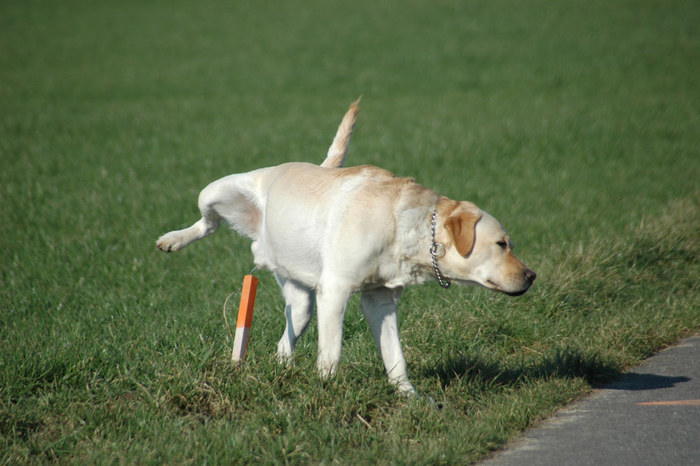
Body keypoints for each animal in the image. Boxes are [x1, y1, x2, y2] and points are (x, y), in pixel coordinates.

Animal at [156, 101, 532, 394]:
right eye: (501, 244)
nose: (531, 276)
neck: (408, 227)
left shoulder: (380, 300)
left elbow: (396, 357)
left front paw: (411, 399)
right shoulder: (335, 290)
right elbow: (332, 352)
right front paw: (324, 390)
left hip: (301, 301)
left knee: (287, 335)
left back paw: (280, 368)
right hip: (215, 190)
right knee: (208, 222)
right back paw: (173, 239)